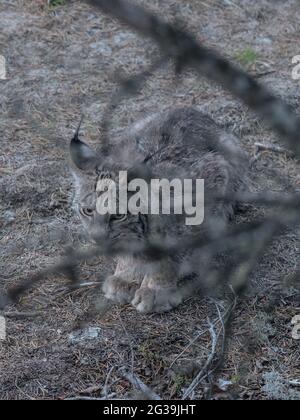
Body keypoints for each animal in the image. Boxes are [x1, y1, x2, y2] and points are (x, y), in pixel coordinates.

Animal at [69, 106, 248, 314]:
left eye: (118, 215)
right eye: (87, 211)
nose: (97, 239)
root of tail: (188, 109)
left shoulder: (212, 181)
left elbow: (172, 250)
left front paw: (156, 291)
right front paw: (126, 277)